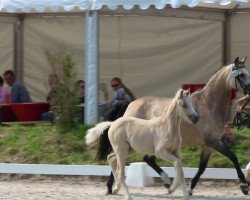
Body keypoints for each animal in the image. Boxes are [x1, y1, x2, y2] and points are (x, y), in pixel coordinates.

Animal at [95, 57, 250, 196]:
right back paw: (112, 188)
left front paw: (189, 189)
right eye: (241, 75)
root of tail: (130, 104)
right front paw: (244, 185)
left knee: (141, 159)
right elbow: (233, 157)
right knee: (125, 159)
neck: (209, 104)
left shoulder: (209, 145)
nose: (249, 91)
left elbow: (202, 167)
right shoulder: (212, 141)